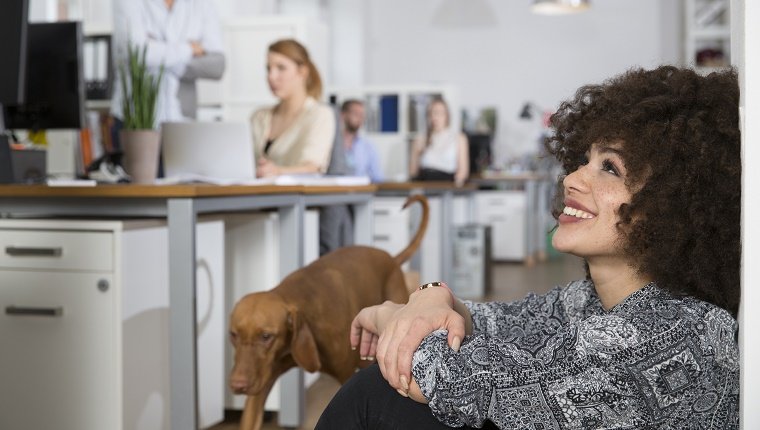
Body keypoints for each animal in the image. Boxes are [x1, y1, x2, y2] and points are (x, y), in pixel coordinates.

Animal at [227, 196, 428, 430]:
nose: (238, 385)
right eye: (233, 335)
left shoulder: (345, 374)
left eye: (266, 336)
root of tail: (391, 258)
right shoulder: (262, 382)